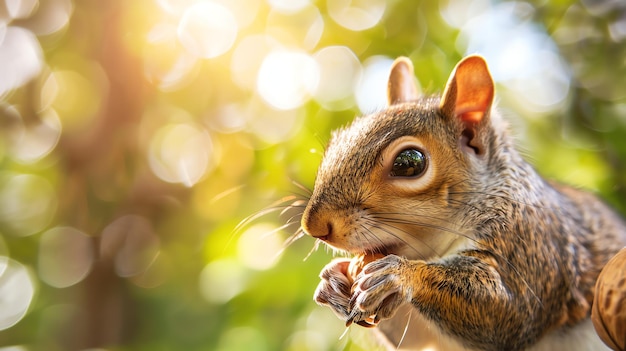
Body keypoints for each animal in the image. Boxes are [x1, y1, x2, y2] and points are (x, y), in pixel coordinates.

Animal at [298, 55, 624, 351]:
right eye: (334, 143)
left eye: (409, 162)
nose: (314, 226)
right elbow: (411, 338)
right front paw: (332, 279)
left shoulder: (531, 246)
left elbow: (511, 315)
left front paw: (402, 275)